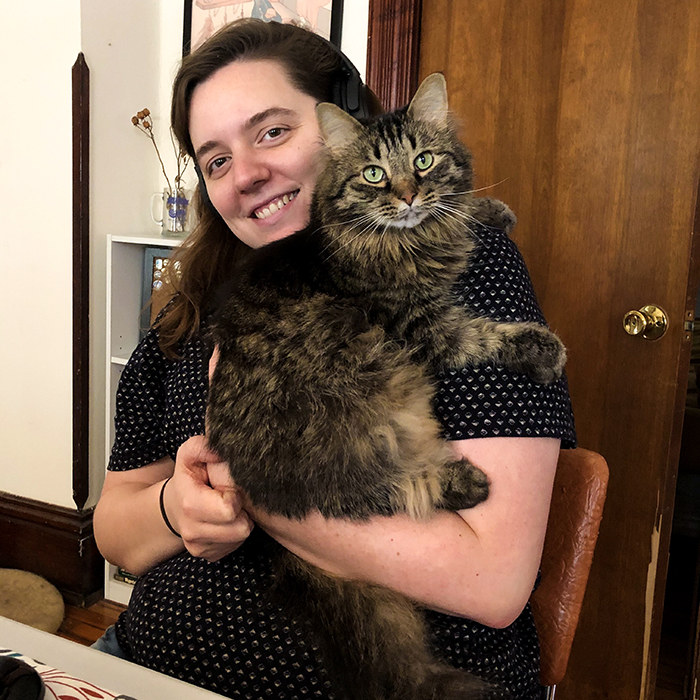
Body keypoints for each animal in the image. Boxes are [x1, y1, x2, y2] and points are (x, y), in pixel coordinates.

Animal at [205, 74, 568, 696]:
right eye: (374, 174)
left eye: (423, 161)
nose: (407, 198)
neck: (406, 241)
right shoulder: (421, 327)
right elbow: (482, 336)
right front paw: (541, 348)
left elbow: (462, 207)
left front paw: (489, 209)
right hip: (367, 403)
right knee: (375, 492)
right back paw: (462, 481)